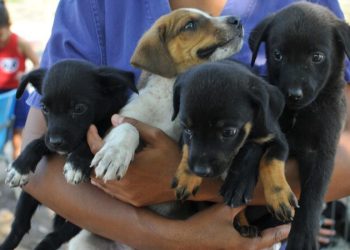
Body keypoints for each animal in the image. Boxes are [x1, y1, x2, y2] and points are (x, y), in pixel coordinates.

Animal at [0, 59, 136, 250]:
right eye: (44, 107)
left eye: (79, 109)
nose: (56, 142)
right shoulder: (49, 136)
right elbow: (37, 142)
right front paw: (20, 167)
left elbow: (90, 141)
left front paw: (76, 164)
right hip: (31, 195)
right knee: (20, 226)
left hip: (85, 216)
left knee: (56, 235)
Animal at [90, 8, 243, 186]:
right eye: (190, 25)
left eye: (210, 15)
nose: (237, 20)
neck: (169, 93)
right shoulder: (122, 119)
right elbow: (128, 127)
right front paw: (114, 155)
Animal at [250, 2, 348, 250]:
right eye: (277, 55)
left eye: (317, 57)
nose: (293, 94)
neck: (299, 114)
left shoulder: (322, 151)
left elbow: (313, 193)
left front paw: (303, 235)